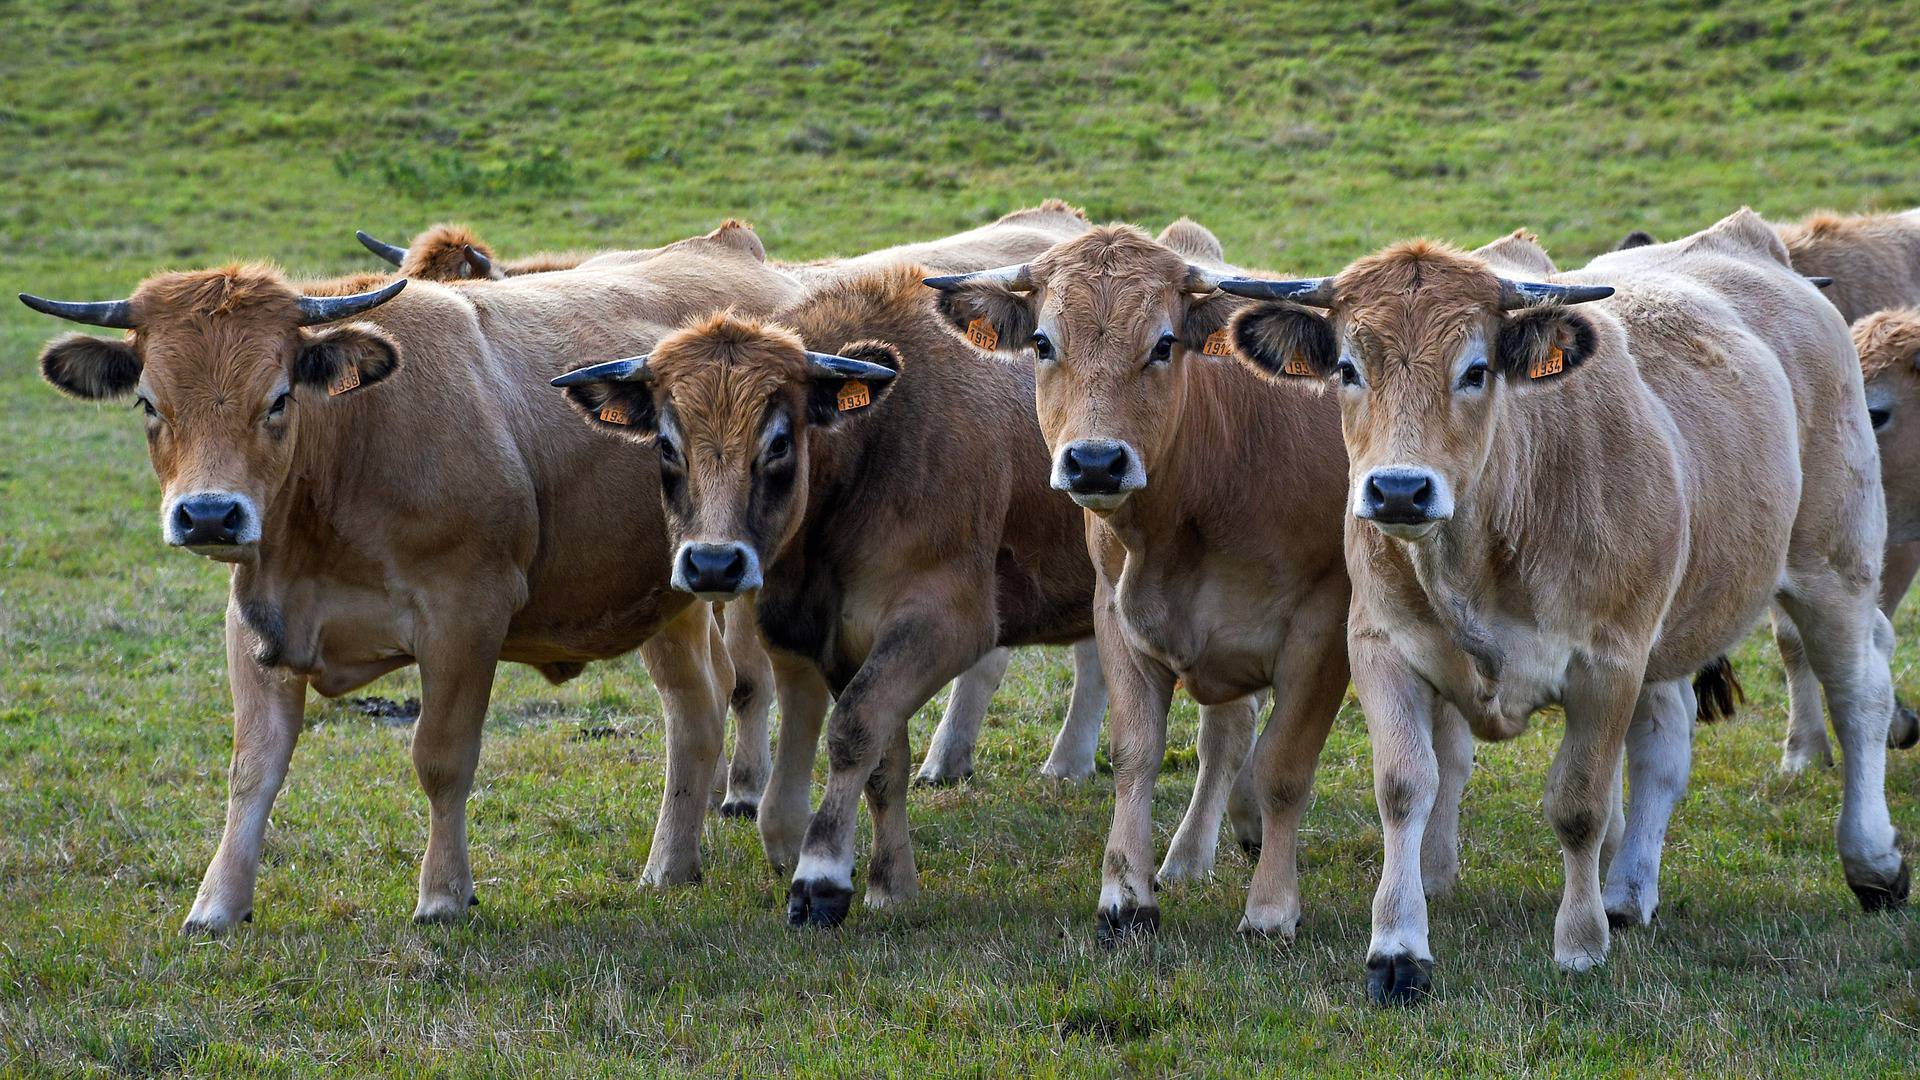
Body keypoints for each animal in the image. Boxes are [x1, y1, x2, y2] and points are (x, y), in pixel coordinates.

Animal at [16, 216, 794, 926]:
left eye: (278, 398)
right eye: (149, 403)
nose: (209, 515)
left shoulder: (465, 616)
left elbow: (441, 758)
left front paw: (444, 894)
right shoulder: (258, 619)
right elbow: (252, 769)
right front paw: (217, 905)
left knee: (741, 690)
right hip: (671, 599)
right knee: (696, 707)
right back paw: (671, 865)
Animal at [545, 263, 1244, 926]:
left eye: (779, 442)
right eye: (668, 445)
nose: (713, 563)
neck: (876, 450)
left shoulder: (947, 622)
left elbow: (854, 728)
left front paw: (822, 878)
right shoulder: (842, 638)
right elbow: (884, 758)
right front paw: (892, 884)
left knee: (1226, 731)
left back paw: (1192, 856)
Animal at [1221, 208, 1912, 999]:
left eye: (1476, 370)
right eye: (1346, 368)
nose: (1398, 490)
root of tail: (1751, 246)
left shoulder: (1606, 663)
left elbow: (1580, 804)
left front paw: (1578, 945)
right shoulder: (1381, 647)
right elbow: (1404, 786)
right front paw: (1398, 948)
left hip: (1834, 564)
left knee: (1859, 693)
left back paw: (1873, 862)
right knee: (1664, 745)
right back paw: (1629, 891)